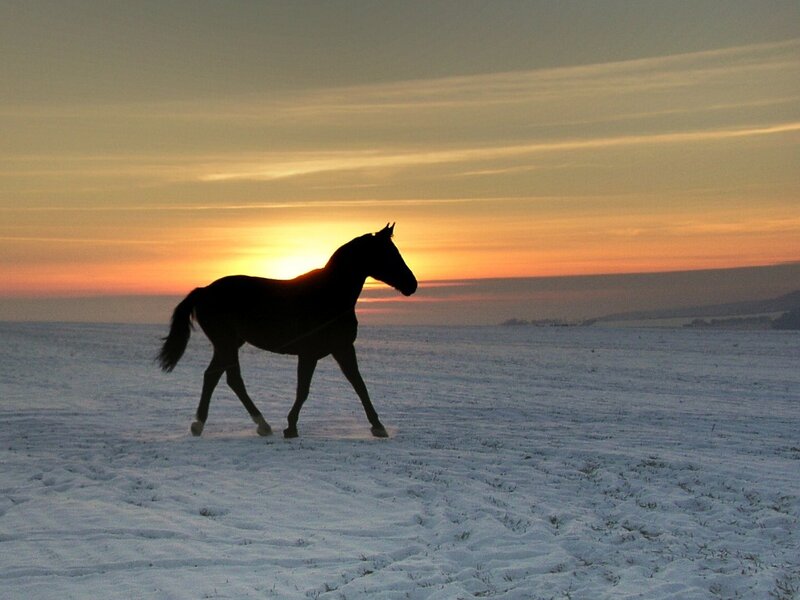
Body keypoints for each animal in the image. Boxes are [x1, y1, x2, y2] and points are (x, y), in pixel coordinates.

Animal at [157, 224, 417, 439]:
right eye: (388, 253)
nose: (412, 284)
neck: (330, 295)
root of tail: (204, 290)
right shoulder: (309, 354)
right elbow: (303, 390)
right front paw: (291, 426)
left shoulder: (342, 348)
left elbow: (359, 384)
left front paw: (378, 426)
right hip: (226, 343)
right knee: (231, 379)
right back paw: (258, 424)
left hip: (229, 344)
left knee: (214, 376)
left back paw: (203, 424)